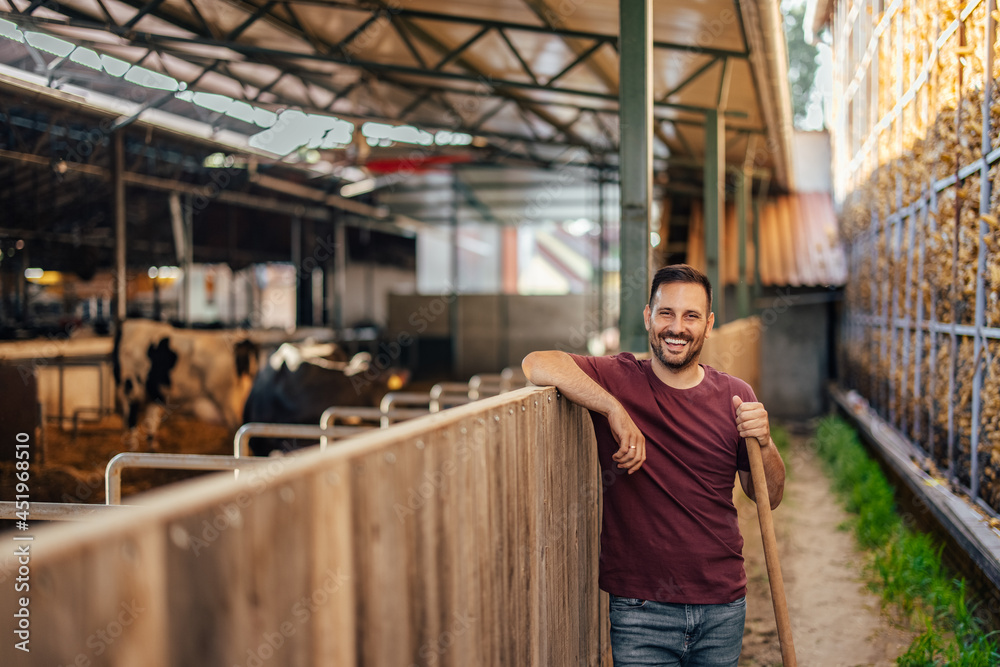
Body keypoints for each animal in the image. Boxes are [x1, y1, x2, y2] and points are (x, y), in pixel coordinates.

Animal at [114, 320, 262, 452]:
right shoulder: (153, 395)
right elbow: (151, 423)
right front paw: (152, 449)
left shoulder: (130, 391)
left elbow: (133, 425)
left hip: (230, 405)